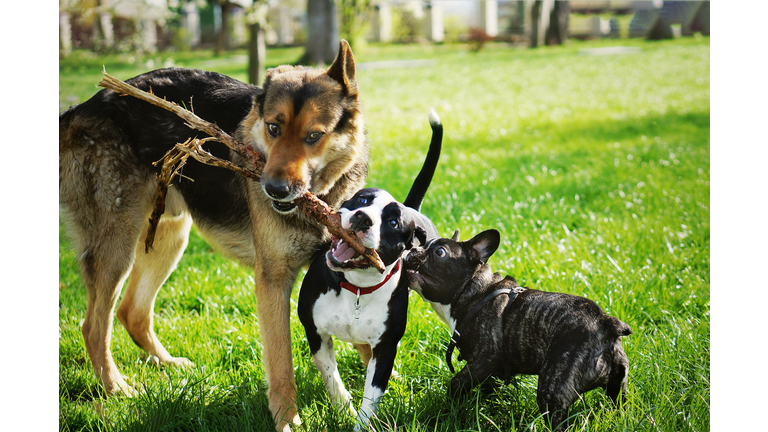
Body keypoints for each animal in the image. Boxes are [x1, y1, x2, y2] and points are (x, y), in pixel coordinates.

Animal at [296, 111, 440, 428]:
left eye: (393, 223)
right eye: (362, 200)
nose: (363, 218)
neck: (357, 288)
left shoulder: (385, 349)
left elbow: (371, 397)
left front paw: (359, 422)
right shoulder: (316, 335)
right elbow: (332, 378)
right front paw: (342, 411)